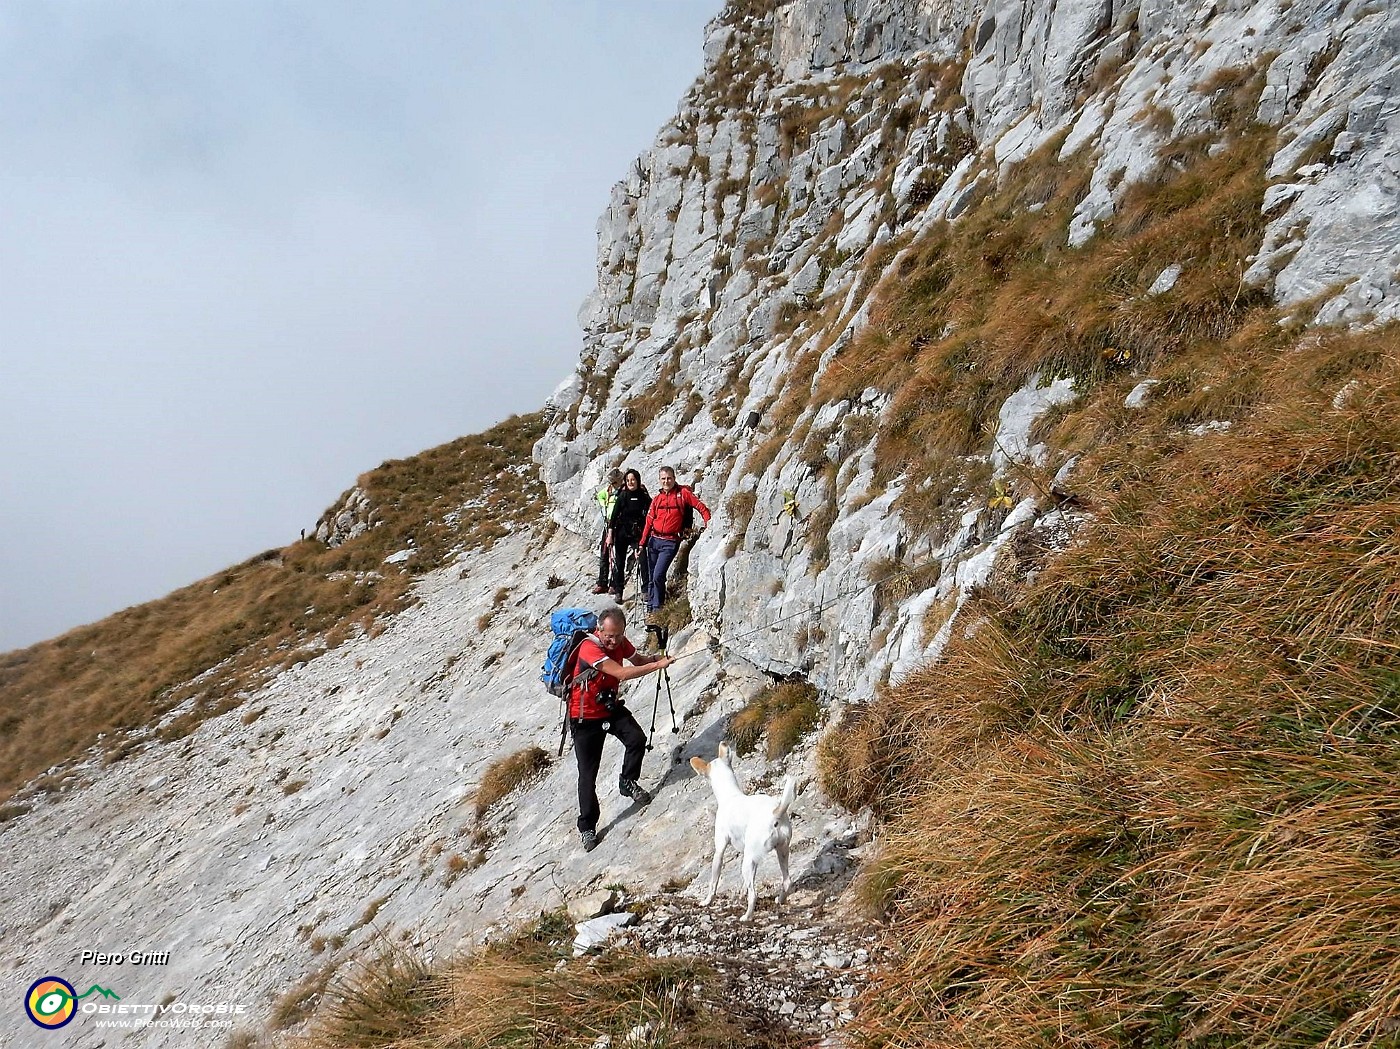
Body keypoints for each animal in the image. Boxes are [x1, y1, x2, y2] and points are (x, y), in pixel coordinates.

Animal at [691, 739, 800, 918]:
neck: (730, 795)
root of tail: (775, 814)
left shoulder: (719, 850)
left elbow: (713, 882)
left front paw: (707, 901)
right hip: (781, 851)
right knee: (786, 881)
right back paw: (780, 900)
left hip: (748, 862)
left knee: (753, 894)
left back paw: (747, 916)